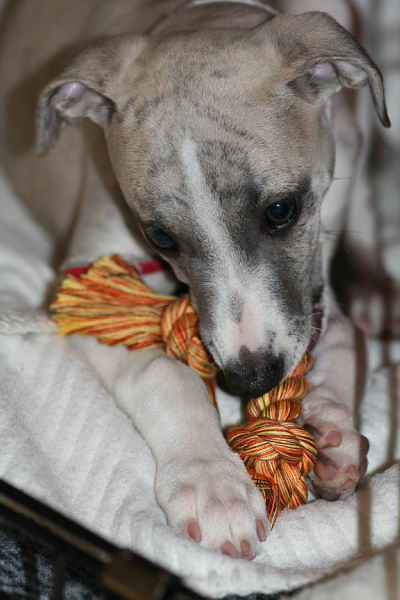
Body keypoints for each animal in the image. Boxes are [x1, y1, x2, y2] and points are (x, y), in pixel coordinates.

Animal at [0, 0, 389, 560]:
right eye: (160, 236)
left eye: (281, 210)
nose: (250, 379)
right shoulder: (84, 290)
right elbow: (163, 373)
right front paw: (212, 485)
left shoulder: (314, 268)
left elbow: (340, 334)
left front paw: (333, 421)